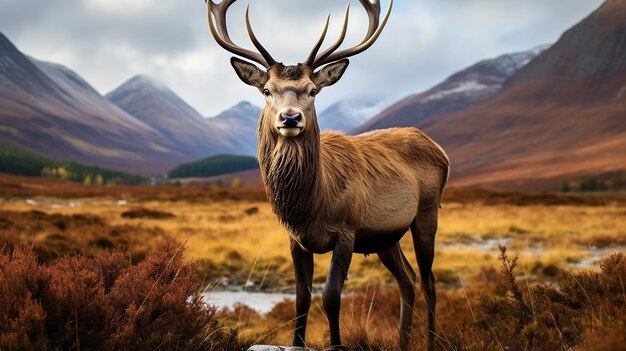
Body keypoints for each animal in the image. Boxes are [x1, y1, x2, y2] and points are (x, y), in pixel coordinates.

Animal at [205, 1, 448, 350]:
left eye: (312, 91)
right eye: (267, 90)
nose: (290, 118)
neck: (310, 206)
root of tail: (439, 149)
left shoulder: (346, 229)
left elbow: (332, 297)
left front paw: (336, 342)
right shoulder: (296, 240)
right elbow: (301, 299)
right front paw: (297, 340)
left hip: (427, 213)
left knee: (429, 280)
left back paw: (430, 341)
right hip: (386, 235)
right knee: (408, 279)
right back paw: (403, 341)